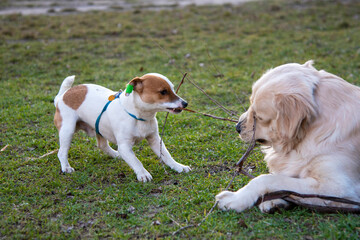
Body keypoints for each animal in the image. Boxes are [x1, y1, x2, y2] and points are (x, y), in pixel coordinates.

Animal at [53, 73, 191, 182]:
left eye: (173, 89)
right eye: (163, 92)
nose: (185, 103)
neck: (139, 116)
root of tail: (62, 96)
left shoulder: (155, 140)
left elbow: (167, 156)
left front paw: (179, 166)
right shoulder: (125, 146)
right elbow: (136, 161)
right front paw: (143, 174)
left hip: (99, 128)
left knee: (102, 145)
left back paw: (116, 154)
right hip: (67, 130)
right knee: (62, 152)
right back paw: (66, 167)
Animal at [217, 61, 360, 213]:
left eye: (259, 117)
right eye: (250, 103)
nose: (237, 127)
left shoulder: (339, 187)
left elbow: (266, 179)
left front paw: (235, 198)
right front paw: (275, 201)